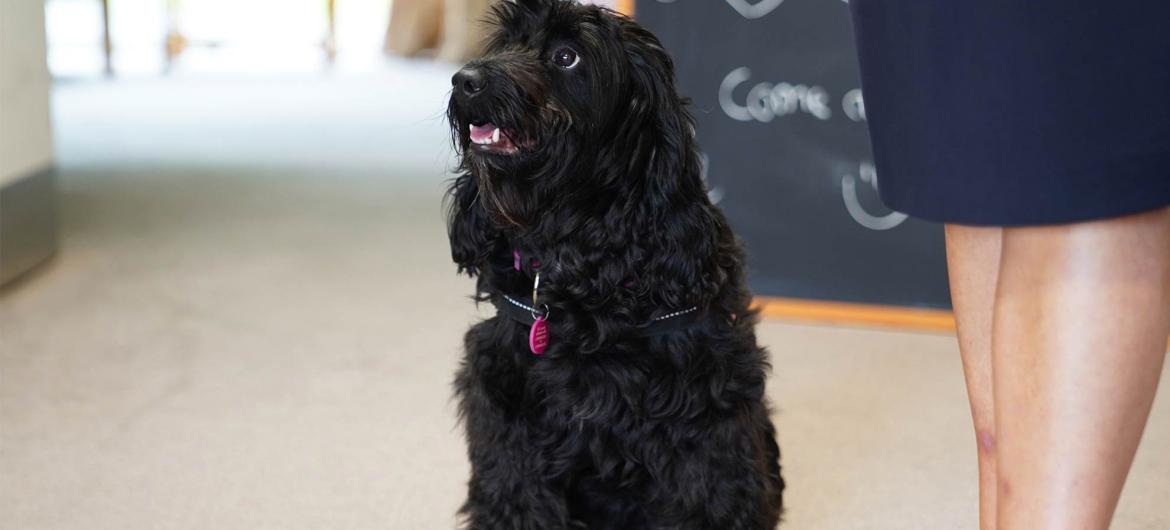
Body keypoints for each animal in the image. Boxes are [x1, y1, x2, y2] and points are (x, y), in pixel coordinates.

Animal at [446, 2, 786, 526]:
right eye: (505, 43)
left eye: (567, 56)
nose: (465, 80)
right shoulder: (507, 413)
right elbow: (515, 499)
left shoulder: (708, 417)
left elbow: (710, 501)